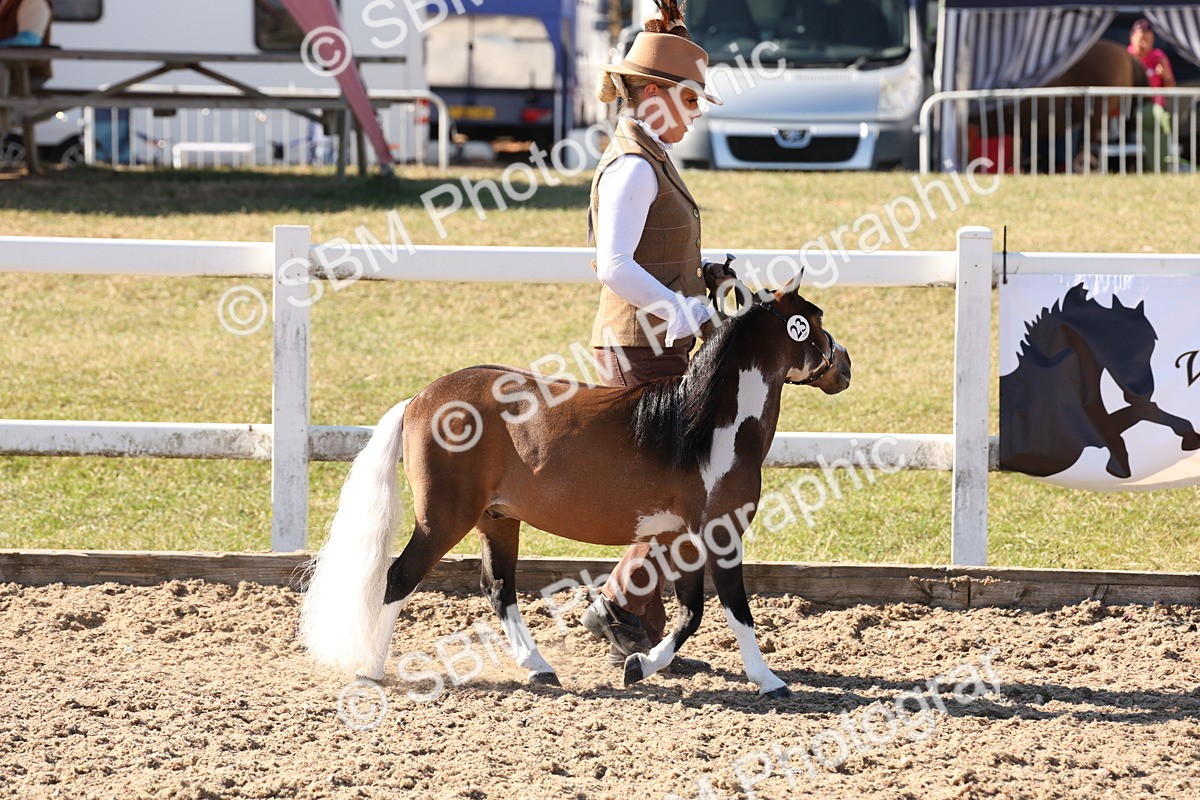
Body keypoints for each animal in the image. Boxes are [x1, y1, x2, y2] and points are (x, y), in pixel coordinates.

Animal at [299, 271, 851, 698]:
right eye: (816, 319)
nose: (845, 363)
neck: (706, 428)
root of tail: (419, 399)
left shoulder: (683, 540)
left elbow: (690, 614)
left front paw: (639, 666)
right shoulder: (722, 534)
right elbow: (736, 610)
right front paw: (768, 680)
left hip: (497, 519)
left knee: (499, 590)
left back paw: (540, 669)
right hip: (444, 519)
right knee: (399, 578)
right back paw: (370, 672)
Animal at [1000, 283, 1199, 479]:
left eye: (1152, 342)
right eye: (1116, 341)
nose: (1143, 392)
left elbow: (1144, 412)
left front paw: (1190, 438)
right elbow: (1121, 434)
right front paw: (1118, 467)